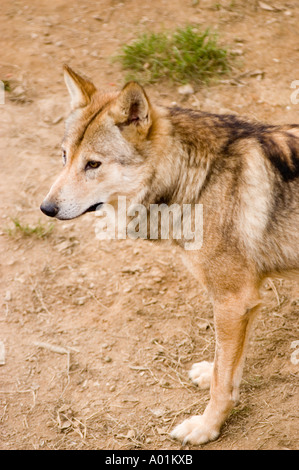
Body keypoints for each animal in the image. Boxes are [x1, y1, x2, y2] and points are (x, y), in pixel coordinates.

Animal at [40, 66, 299, 444]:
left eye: (93, 164)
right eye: (64, 156)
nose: (46, 208)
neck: (198, 178)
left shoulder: (233, 299)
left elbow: (222, 383)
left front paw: (206, 428)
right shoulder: (244, 302)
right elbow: (227, 366)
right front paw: (211, 371)